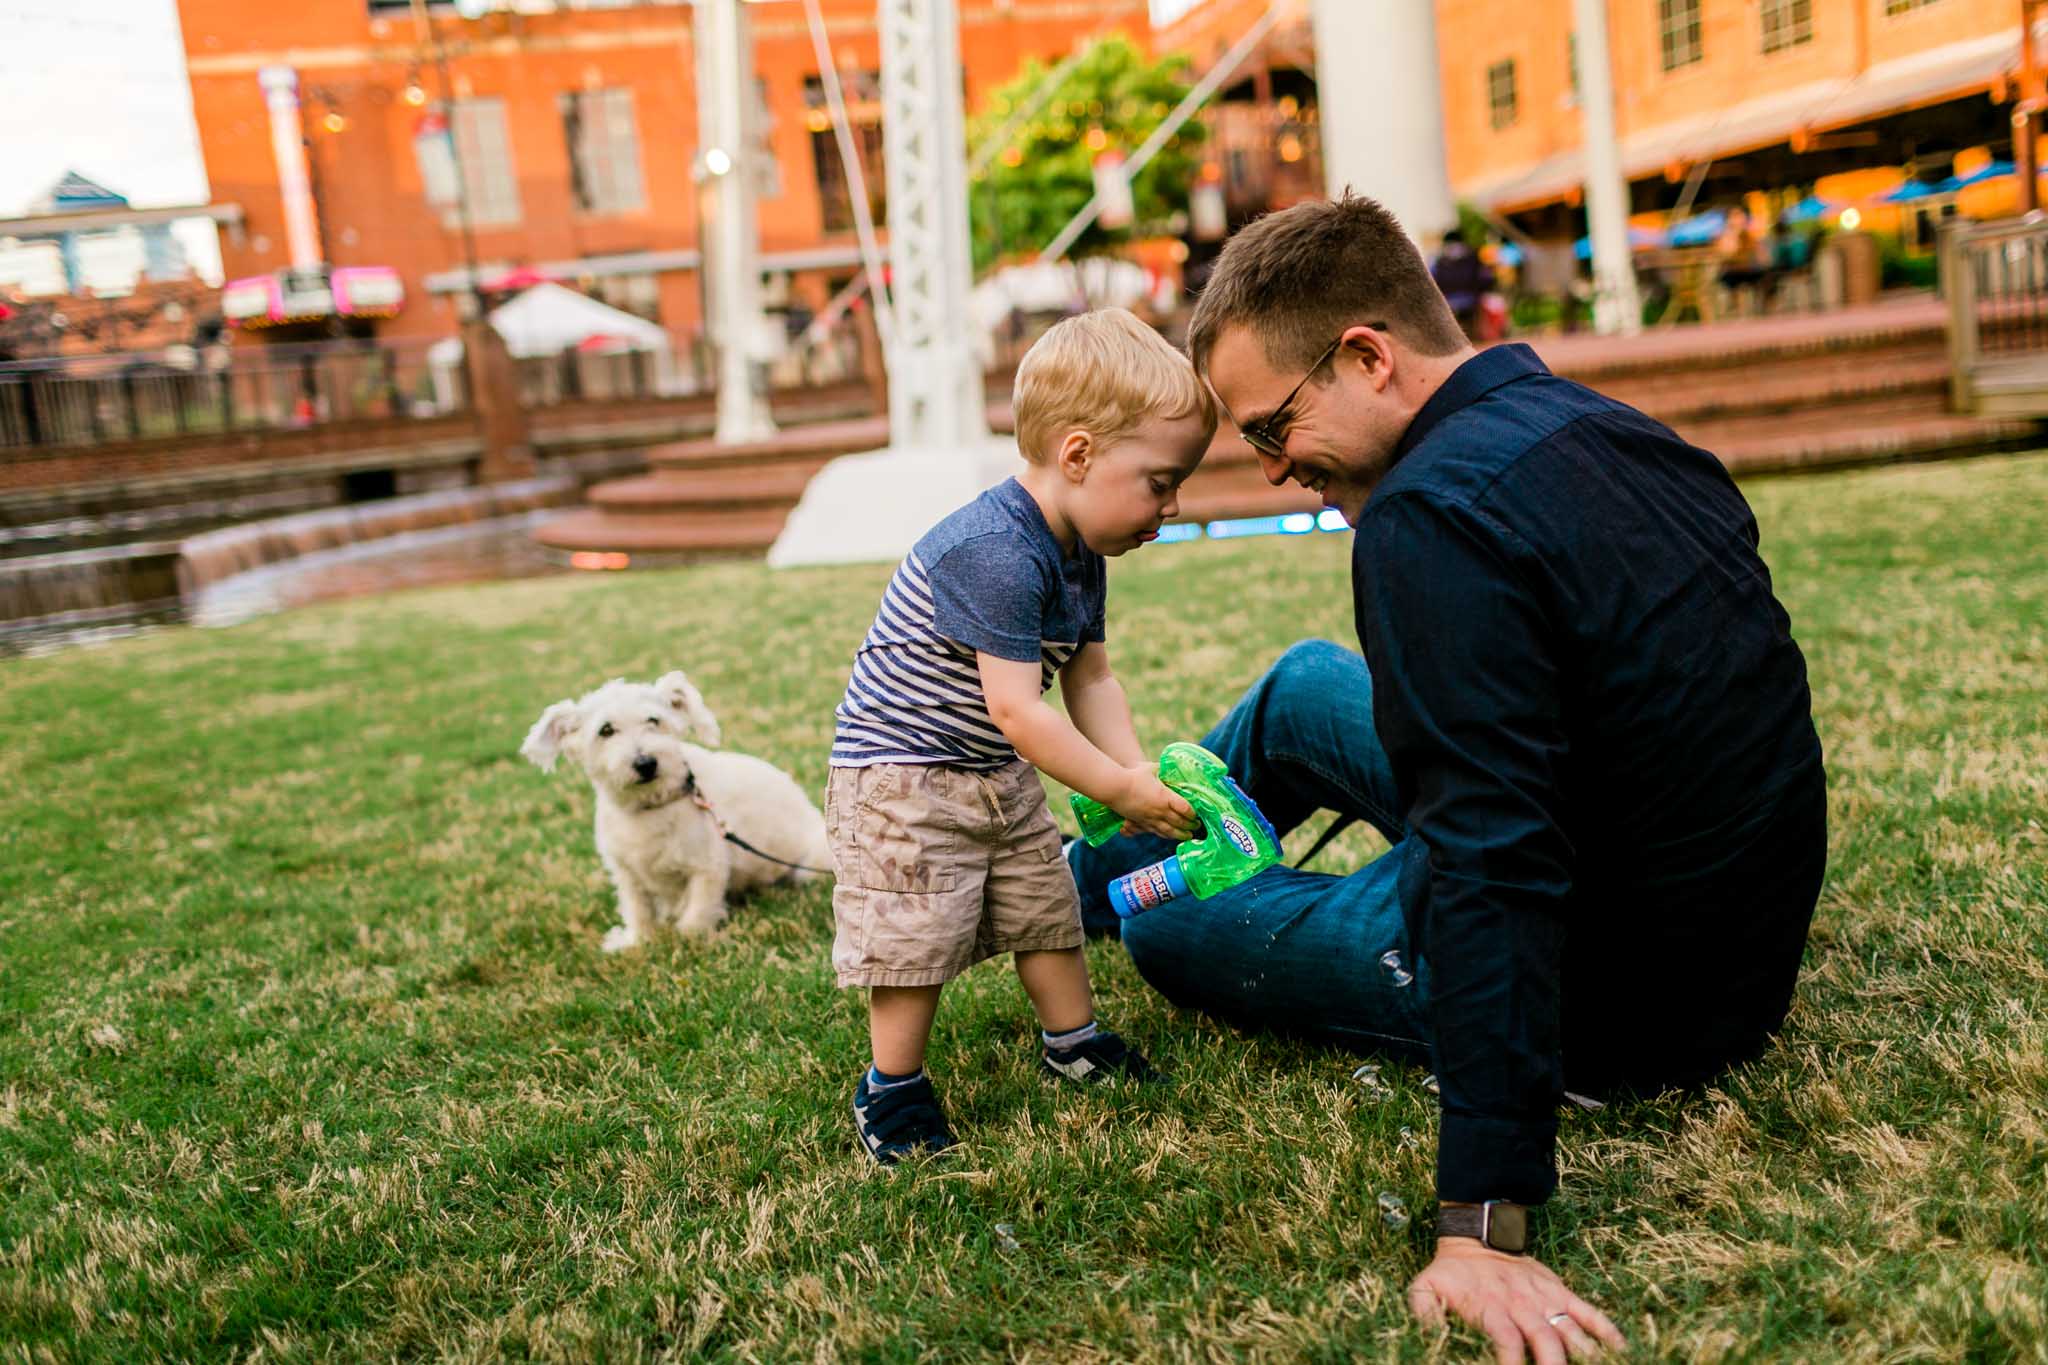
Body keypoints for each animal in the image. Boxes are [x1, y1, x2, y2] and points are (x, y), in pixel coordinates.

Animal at [520, 671, 831, 949]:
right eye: (605, 730)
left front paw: (690, 939)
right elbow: (638, 910)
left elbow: (697, 913)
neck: (652, 806)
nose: (646, 763)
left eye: (654, 720)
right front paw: (637, 941)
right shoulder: (627, 874)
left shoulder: (707, 867)